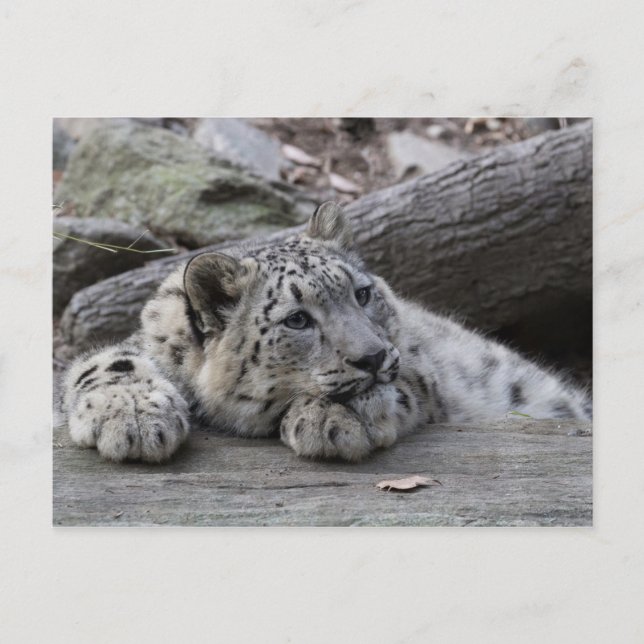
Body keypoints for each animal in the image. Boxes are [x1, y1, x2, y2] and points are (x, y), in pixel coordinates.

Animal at [61, 202, 591, 463]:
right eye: (297, 319)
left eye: (362, 293)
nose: (374, 357)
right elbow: (105, 362)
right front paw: (132, 419)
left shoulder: (420, 366)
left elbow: (406, 384)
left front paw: (335, 419)